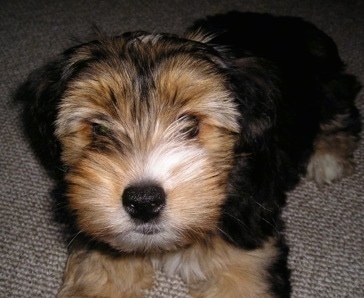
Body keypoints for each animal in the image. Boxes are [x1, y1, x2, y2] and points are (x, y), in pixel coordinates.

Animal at [19, 11, 362, 298]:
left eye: (191, 124)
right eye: (99, 128)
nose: (143, 201)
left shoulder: (251, 256)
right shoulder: (97, 247)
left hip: (328, 82)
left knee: (340, 109)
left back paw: (328, 157)